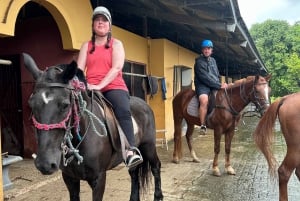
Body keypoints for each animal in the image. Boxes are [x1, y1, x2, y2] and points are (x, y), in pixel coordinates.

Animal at [22, 53, 164, 201]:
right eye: (31, 104)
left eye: (65, 105)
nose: (44, 164)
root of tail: (144, 104)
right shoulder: (70, 178)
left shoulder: (99, 179)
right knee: (134, 172)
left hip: (148, 146)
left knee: (156, 167)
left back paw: (158, 195)